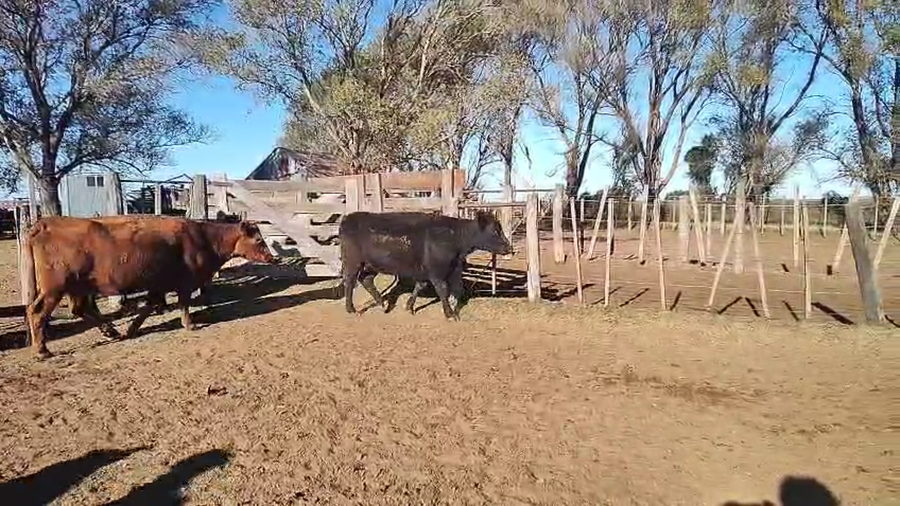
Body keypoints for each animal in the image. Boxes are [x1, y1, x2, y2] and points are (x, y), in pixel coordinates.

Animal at [24, 215, 275, 358]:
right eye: (259, 240)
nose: (273, 258)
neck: (203, 238)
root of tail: (44, 223)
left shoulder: (159, 284)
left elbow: (149, 305)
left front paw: (131, 329)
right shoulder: (183, 282)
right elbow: (183, 303)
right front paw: (190, 325)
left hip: (77, 287)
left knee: (80, 309)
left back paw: (111, 331)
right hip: (55, 288)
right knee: (37, 311)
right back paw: (42, 351)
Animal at [339, 210, 512, 320]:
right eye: (494, 231)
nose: (509, 248)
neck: (453, 237)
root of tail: (348, 218)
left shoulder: (425, 271)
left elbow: (420, 286)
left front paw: (409, 306)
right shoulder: (436, 272)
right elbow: (443, 290)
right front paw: (450, 314)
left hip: (371, 265)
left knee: (366, 280)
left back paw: (382, 304)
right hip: (353, 262)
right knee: (350, 281)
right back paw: (351, 309)